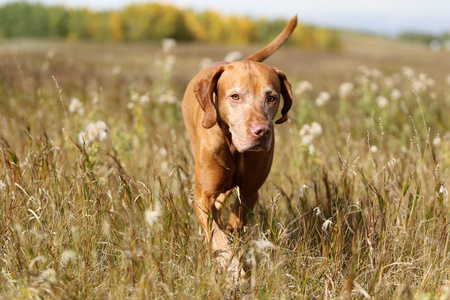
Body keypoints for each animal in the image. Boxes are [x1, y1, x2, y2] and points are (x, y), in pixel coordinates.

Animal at [181, 15, 298, 276]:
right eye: (235, 96)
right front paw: (233, 271)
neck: (233, 146)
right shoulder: (202, 196)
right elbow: (217, 237)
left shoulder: (249, 193)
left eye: (271, 97)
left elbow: (234, 225)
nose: (261, 132)